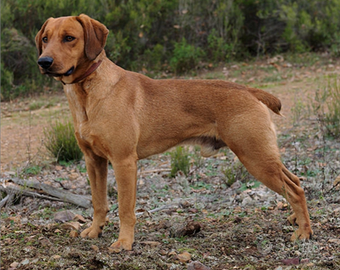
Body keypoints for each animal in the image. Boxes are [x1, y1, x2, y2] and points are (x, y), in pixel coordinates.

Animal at [35, 14, 312, 251]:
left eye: (69, 38)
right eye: (45, 39)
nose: (43, 62)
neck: (88, 92)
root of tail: (249, 90)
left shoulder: (124, 162)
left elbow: (125, 209)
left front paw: (124, 242)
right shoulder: (94, 161)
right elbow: (99, 203)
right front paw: (95, 231)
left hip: (255, 157)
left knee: (295, 190)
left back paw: (304, 233)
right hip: (264, 155)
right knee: (295, 182)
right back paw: (295, 220)